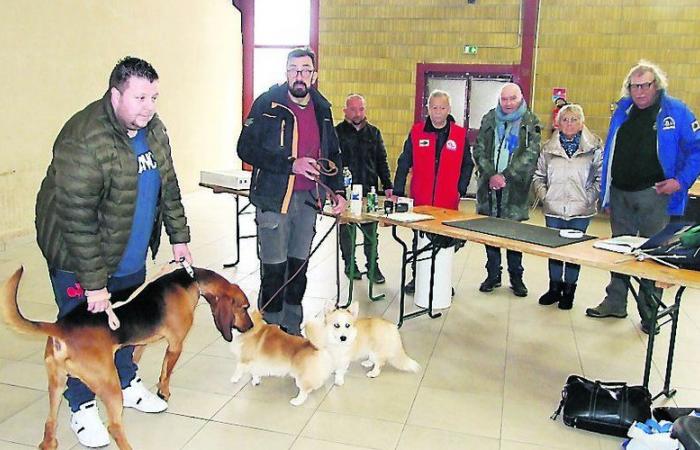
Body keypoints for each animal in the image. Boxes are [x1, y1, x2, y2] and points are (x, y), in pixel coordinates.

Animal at [0, 268, 252, 450]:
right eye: (245, 307)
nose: (250, 327)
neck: (190, 279)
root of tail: (60, 327)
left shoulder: (138, 343)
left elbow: (134, 362)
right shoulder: (175, 345)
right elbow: (166, 372)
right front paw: (164, 392)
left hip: (57, 383)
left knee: (50, 421)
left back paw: (48, 444)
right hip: (108, 384)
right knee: (114, 427)